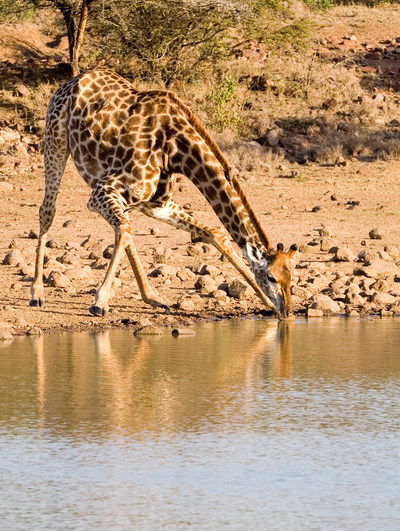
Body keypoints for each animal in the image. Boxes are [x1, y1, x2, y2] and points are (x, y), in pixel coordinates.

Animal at [30, 64, 296, 318]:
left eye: (291, 278)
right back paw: (37, 293)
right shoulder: (101, 192)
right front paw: (100, 302)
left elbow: (214, 232)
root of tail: (76, 78)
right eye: (272, 277)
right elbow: (124, 230)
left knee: (124, 228)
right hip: (56, 138)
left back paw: (152, 297)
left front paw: (265, 303)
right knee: (48, 211)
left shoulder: (159, 205)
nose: (286, 311)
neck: (177, 151)